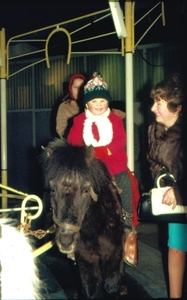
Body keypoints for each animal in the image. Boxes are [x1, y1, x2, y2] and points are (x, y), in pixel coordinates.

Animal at [41, 139, 125, 300]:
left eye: (86, 189)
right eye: (53, 189)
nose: (66, 241)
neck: (97, 225)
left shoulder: (114, 253)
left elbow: (112, 286)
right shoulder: (87, 257)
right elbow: (92, 289)